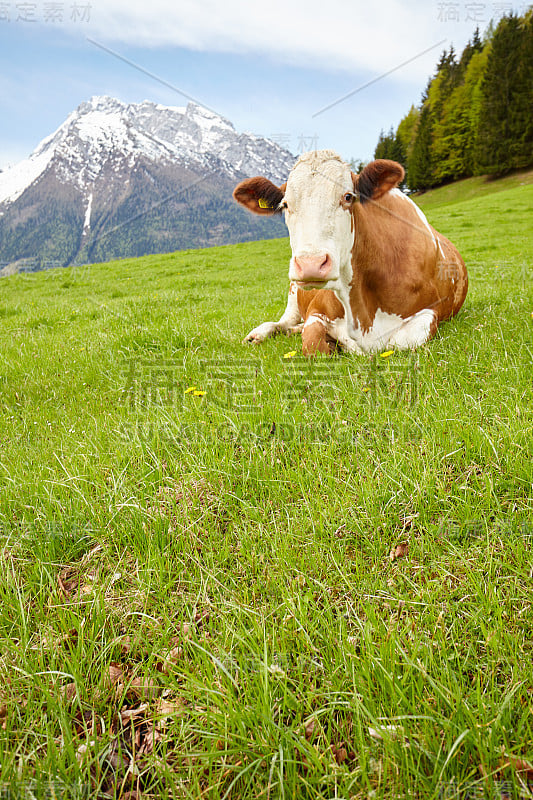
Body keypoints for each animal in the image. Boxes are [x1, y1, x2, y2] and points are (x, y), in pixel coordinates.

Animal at [233, 149, 466, 354]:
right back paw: (259, 334)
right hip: (294, 290)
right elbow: (313, 345)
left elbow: (399, 342)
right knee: (283, 321)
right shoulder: (316, 310)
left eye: (347, 197)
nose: (311, 264)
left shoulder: (429, 312)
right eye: (285, 205)